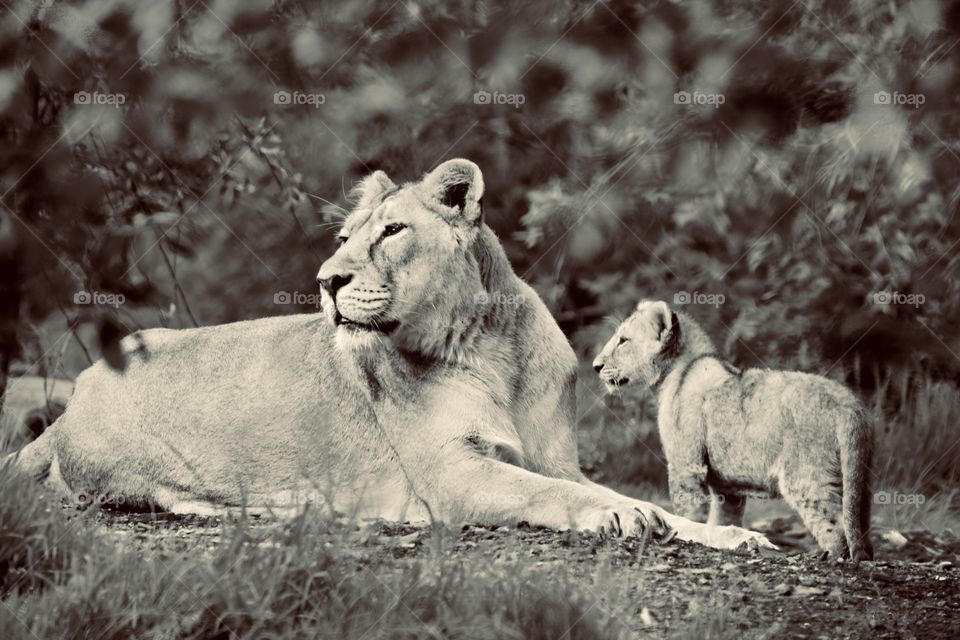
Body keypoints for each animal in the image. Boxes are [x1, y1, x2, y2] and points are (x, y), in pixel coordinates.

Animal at [8, 160, 772, 550]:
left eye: (392, 232)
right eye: (344, 238)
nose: (325, 281)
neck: (489, 348)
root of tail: (74, 396)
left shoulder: (555, 457)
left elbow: (618, 493)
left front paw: (731, 538)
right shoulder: (451, 471)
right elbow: (559, 494)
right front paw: (625, 519)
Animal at [593, 300, 873, 560]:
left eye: (623, 341)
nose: (596, 366)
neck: (676, 371)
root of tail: (849, 404)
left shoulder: (686, 465)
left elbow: (689, 510)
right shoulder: (727, 488)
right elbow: (724, 517)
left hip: (807, 476)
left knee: (835, 528)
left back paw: (831, 558)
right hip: (860, 478)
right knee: (857, 521)